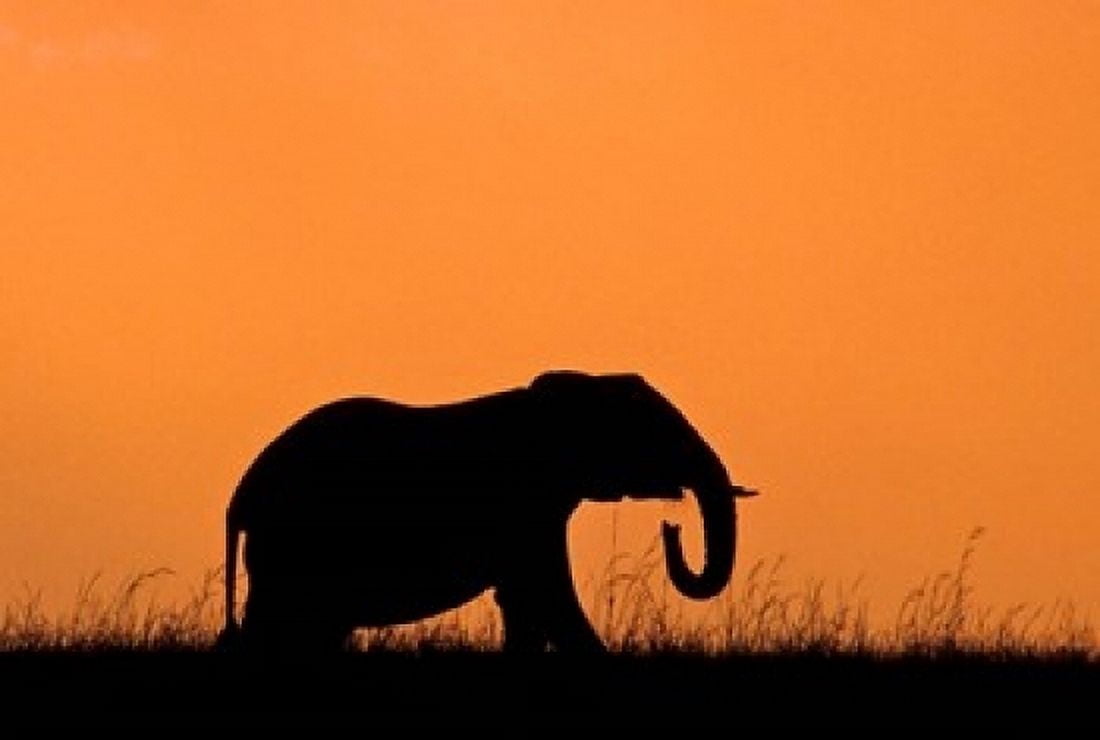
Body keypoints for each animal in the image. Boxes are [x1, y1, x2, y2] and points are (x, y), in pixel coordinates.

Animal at [217, 370, 756, 652]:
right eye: (652, 432)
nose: (671, 528)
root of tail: (241, 495)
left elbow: (523, 600)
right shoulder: (525, 504)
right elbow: (545, 592)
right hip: (296, 542)